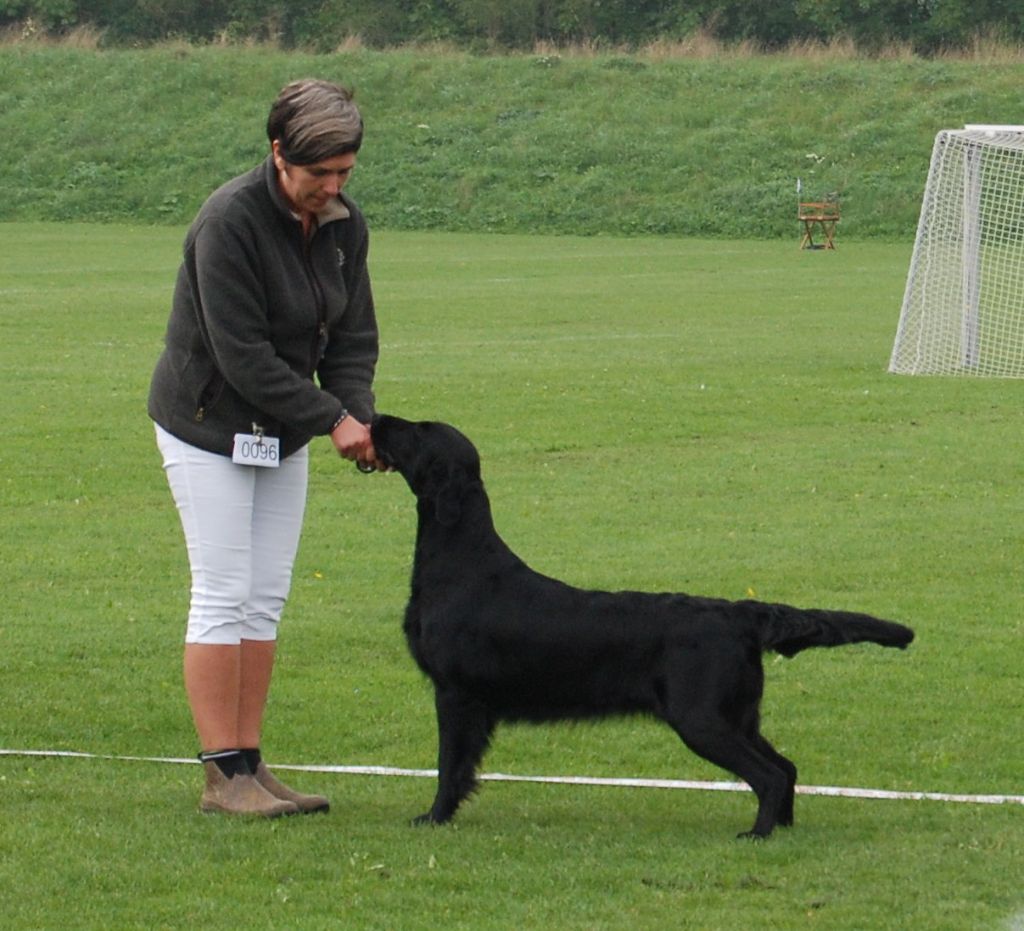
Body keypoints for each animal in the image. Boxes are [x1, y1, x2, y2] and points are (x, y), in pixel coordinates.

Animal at [372, 413, 917, 835]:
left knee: (770, 775)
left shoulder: (455, 692)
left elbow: (449, 765)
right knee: (786, 766)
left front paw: (434, 817)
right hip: (738, 714)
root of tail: (738, 612)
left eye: (418, 430)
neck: (461, 559)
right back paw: (781, 829)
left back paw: (757, 834)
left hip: (701, 718)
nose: (376, 418)